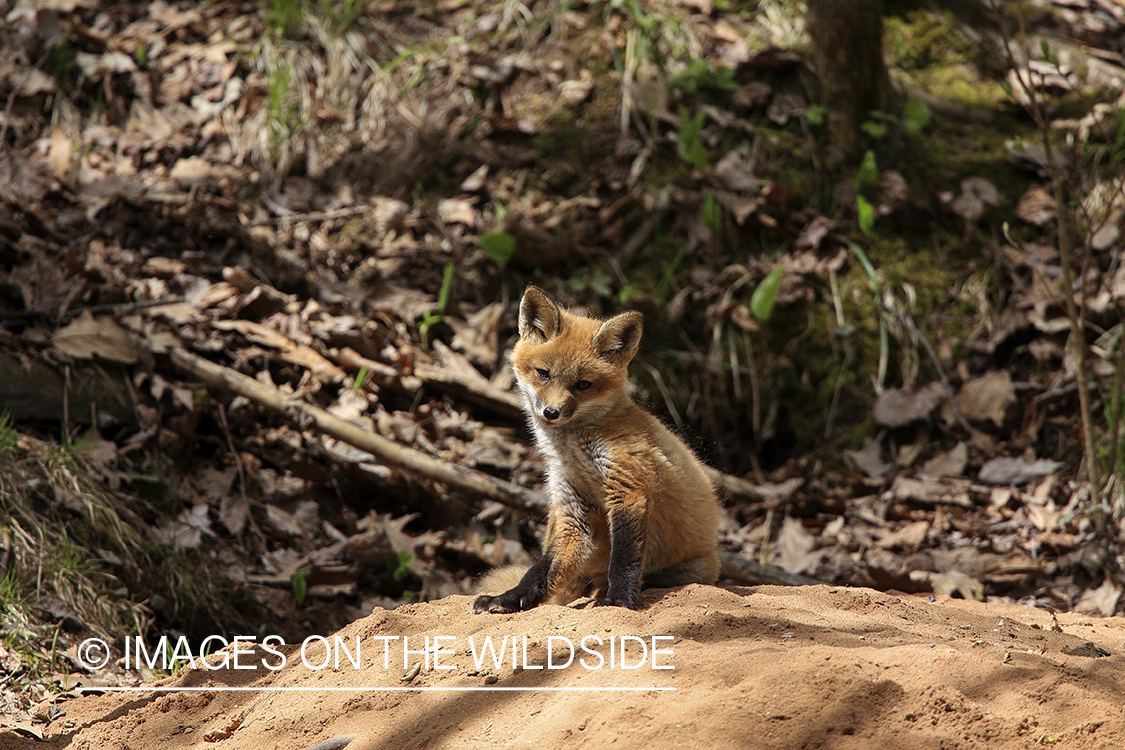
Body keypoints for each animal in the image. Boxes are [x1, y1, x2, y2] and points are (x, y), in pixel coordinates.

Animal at [473, 286, 720, 613]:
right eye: (543, 374)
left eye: (583, 385)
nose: (551, 413)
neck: (574, 452)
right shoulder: (573, 508)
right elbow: (541, 570)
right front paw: (511, 597)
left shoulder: (629, 488)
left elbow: (624, 559)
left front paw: (618, 599)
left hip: (689, 569)